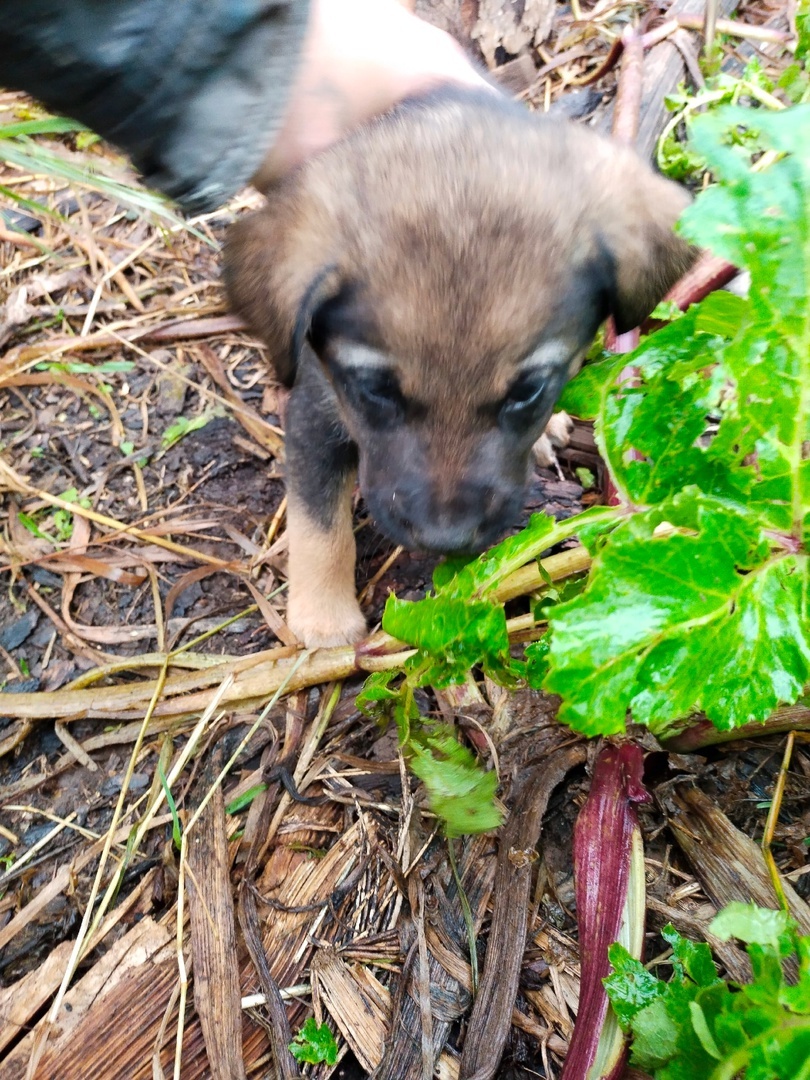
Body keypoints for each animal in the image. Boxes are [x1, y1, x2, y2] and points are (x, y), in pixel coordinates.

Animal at [225, 88, 695, 643]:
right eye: (376, 389)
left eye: (528, 390)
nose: (444, 539)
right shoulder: (313, 415)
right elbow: (319, 522)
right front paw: (325, 619)